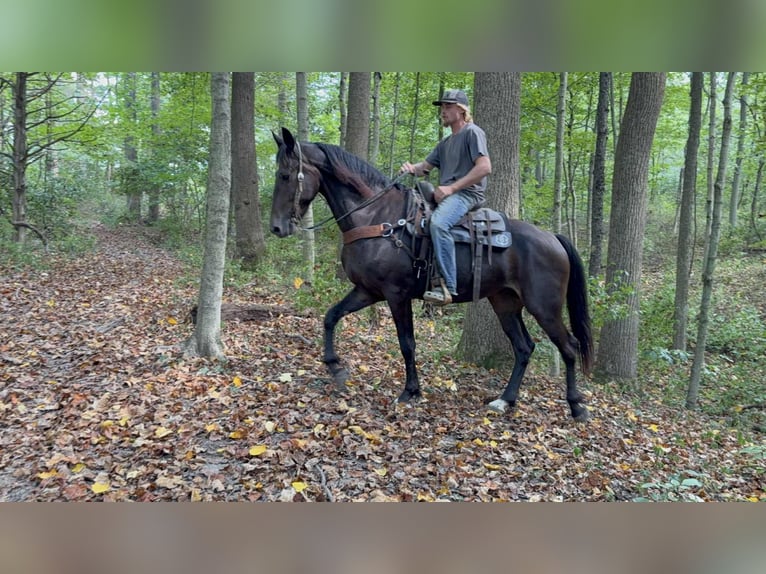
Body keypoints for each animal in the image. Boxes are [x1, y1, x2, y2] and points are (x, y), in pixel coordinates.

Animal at [269, 127, 593, 421]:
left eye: (285, 175)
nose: (276, 227)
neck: (377, 220)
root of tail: (553, 238)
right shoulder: (367, 291)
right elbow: (331, 316)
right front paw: (334, 366)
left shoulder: (396, 295)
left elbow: (407, 343)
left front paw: (410, 391)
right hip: (505, 302)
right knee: (524, 347)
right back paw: (505, 400)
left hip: (544, 307)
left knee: (569, 346)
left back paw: (576, 407)